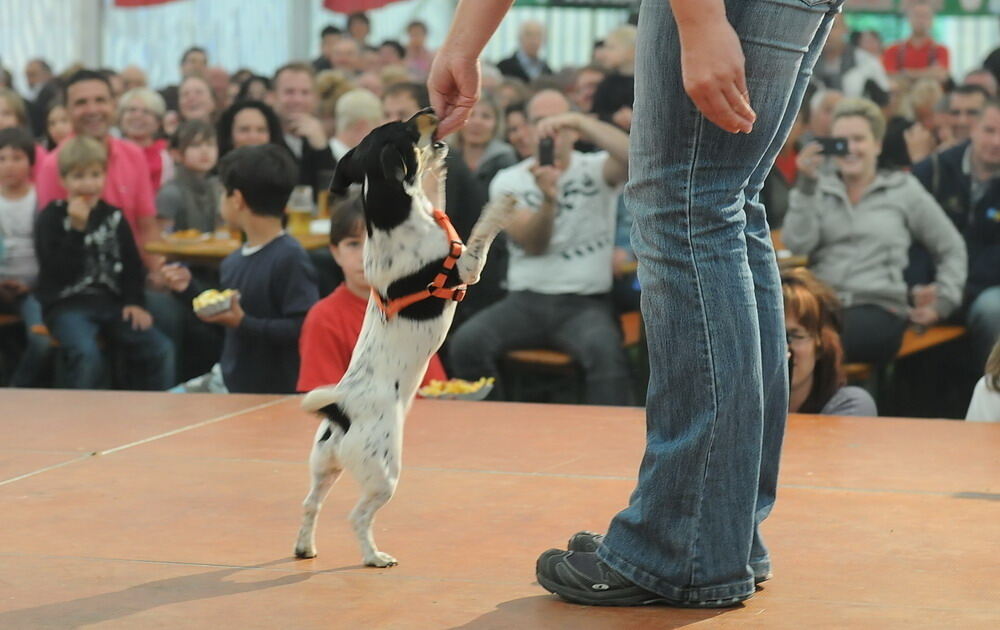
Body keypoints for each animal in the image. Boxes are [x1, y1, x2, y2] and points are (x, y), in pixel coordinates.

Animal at [292, 107, 512, 568]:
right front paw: (503, 203)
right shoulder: (467, 268)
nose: (431, 109)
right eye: (408, 128)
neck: (396, 216)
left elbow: (437, 192)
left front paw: (440, 170)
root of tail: (340, 411)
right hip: (384, 474)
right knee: (358, 516)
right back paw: (374, 556)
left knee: (310, 504)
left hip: (324, 465)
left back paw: (305, 546)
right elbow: (481, 233)